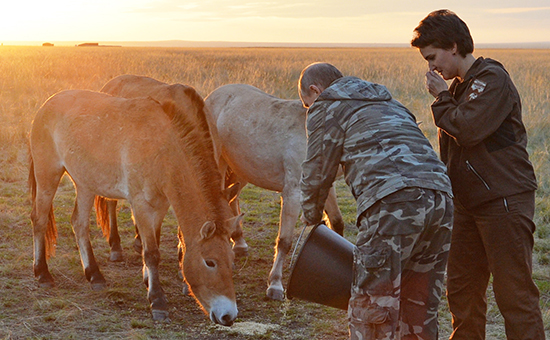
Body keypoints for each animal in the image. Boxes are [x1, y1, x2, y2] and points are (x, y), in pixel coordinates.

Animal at [29, 87, 242, 324]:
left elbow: (153, 242)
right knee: (39, 219)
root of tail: (46, 105)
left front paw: (148, 282)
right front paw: (157, 301)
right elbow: (152, 252)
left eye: (231, 259)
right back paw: (42, 273)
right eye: (210, 262)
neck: (162, 149)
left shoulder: (160, 205)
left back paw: (94, 275)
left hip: (85, 184)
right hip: (48, 174)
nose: (228, 315)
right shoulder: (140, 204)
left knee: (79, 224)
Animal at [205, 83, 348, 300]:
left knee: (231, 199)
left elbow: (337, 222)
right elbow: (285, 241)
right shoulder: (293, 192)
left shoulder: (325, 186)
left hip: (242, 169)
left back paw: (239, 242)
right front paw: (275, 284)